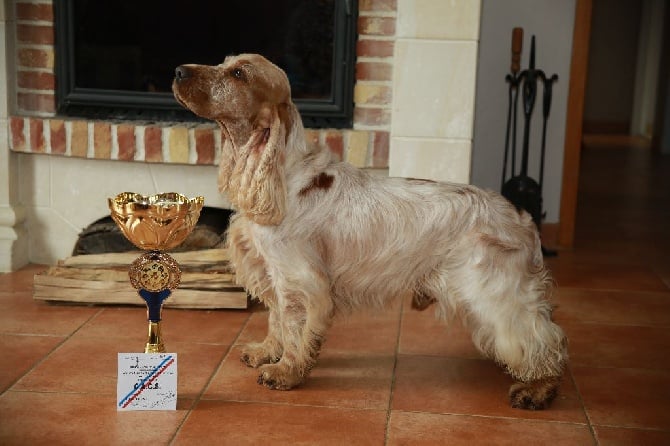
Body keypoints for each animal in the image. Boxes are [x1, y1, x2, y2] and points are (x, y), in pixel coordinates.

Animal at [172, 54, 568, 410]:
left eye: (239, 73)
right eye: (224, 62)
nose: (178, 70)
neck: (283, 175)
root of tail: (522, 217)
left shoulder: (300, 279)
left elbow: (293, 325)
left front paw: (286, 372)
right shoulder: (275, 273)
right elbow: (277, 320)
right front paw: (267, 353)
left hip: (493, 291)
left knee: (544, 339)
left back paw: (537, 390)